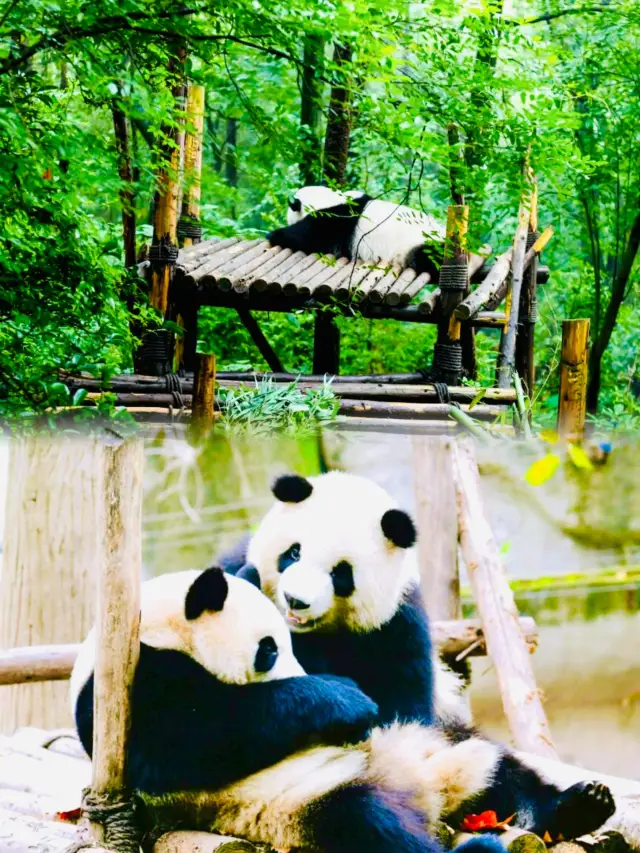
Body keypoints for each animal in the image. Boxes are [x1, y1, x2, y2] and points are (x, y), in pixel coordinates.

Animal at [70, 566, 504, 853]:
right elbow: (182, 743)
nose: (300, 672)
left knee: (498, 767)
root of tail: (422, 789)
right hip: (300, 801)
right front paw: (345, 701)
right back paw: (477, 846)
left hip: (431, 742)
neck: (156, 630)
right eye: (269, 649)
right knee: (370, 825)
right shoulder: (133, 684)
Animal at [225, 472, 617, 842]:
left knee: (497, 766)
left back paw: (580, 804)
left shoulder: (398, 628)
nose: (296, 601)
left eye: (341, 573)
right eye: (293, 552)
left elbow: (402, 709)